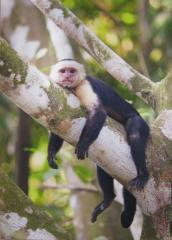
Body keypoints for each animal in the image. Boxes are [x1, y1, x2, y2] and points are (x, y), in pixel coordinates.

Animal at [47, 59, 149, 228]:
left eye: (71, 71)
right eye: (63, 71)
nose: (67, 76)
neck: (73, 88)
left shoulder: (84, 85)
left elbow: (98, 112)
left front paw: (83, 144)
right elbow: (58, 126)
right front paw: (51, 154)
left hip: (142, 125)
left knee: (135, 132)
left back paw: (143, 175)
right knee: (103, 166)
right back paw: (107, 200)